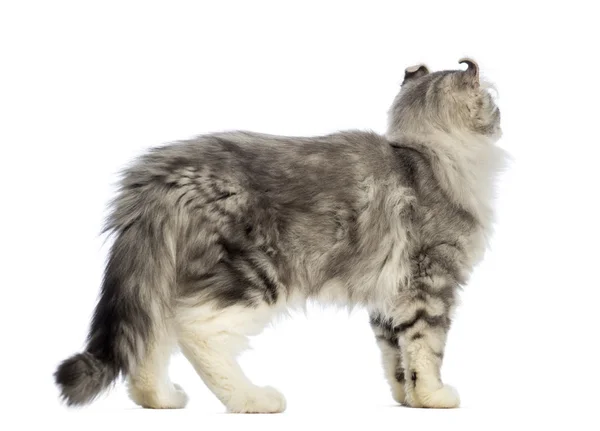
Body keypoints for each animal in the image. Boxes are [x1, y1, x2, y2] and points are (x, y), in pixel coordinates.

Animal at [54, 59, 504, 414]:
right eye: (494, 101)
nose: (502, 116)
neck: (429, 153)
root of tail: (164, 173)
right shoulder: (430, 281)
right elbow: (426, 348)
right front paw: (433, 397)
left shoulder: (388, 296)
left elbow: (396, 357)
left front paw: (406, 399)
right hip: (257, 273)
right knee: (195, 331)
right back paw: (253, 399)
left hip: (162, 274)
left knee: (148, 341)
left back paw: (161, 399)